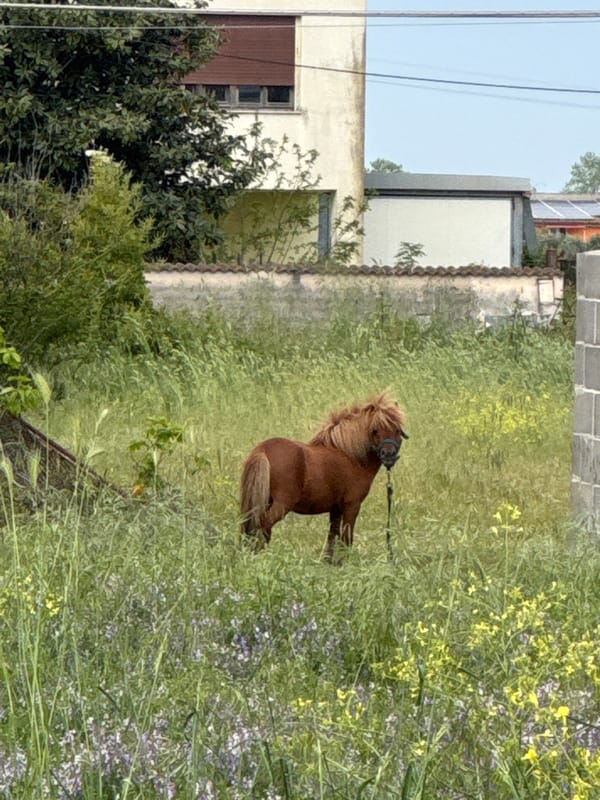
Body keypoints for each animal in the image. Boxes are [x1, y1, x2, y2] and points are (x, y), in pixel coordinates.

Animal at [240, 392, 408, 560]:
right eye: (375, 430)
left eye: (397, 430)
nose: (389, 455)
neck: (350, 455)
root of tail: (263, 450)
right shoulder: (351, 506)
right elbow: (346, 538)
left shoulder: (336, 509)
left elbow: (332, 539)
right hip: (281, 504)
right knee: (264, 526)